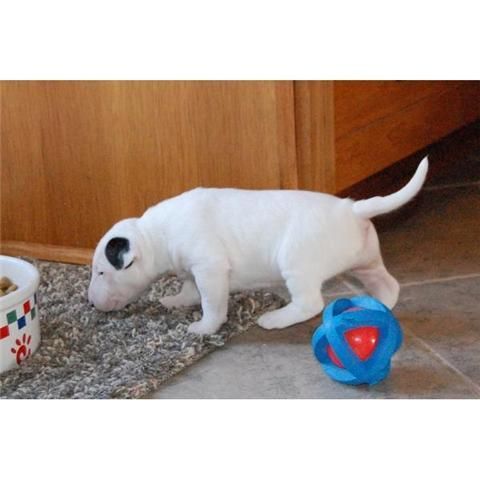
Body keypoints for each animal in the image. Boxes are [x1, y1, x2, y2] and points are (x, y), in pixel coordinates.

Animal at [88, 158, 430, 334]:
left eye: (101, 272)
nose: (90, 303)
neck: (154, 233)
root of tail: (352, 209)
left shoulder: (210, 268)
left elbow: (211, 303)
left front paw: (204, 327)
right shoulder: (192, 269)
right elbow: (189, 289)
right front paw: (176, 300)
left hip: (297, 262)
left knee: (310, 303)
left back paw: (275, 320)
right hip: (366, 261)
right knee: (388, 284)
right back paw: (379, 305)